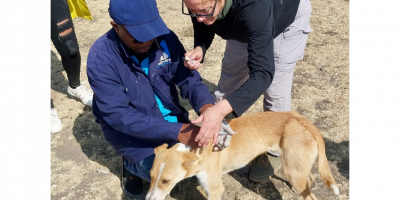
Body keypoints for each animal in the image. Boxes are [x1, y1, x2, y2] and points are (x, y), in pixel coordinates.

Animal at [145, 111, 340, 200]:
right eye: (151, 177)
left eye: (166, 181)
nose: (148, 199)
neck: (196, 149)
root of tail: (303, 120)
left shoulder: (215, 189)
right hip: (296, 169)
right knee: (311, 178)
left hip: (292, 170)